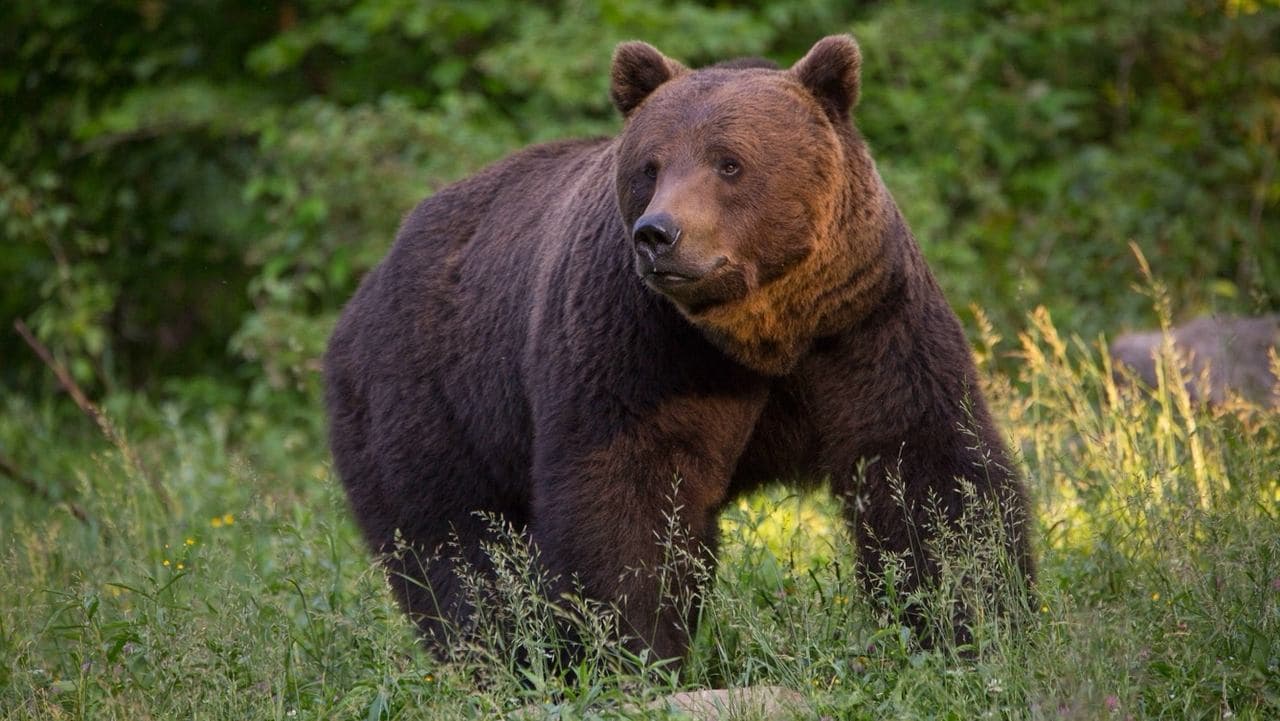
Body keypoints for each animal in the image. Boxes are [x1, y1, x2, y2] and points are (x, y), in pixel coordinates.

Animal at [325, 36, 1034, 660]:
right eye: (650, 166)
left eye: (729, 162)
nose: (658, 234)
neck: (763, 333)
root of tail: (366, 287)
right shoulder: (641, 344)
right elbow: (629, 495)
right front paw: (633, 648)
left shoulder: (864, 324)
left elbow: (927, 471)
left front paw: (976, 620)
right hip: (428, 396)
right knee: (456, 546)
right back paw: (499, 655)